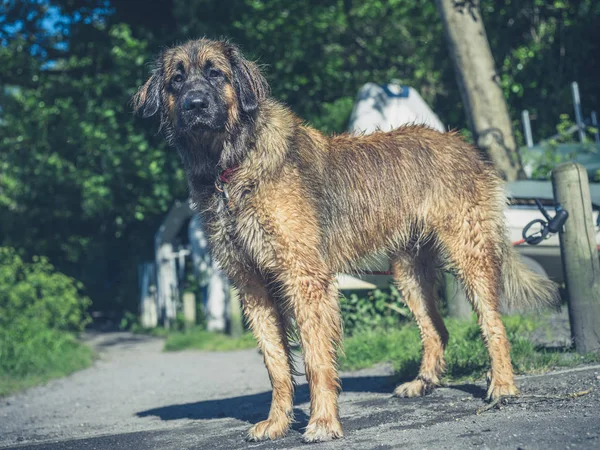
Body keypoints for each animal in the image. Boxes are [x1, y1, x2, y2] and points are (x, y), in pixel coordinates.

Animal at [134, 38, 560, 442]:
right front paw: (277, 423)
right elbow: (276, 364)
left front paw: (322, 422)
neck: (230, 165)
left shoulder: (304, 278)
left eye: (216, 73)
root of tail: (465, 146)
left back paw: (502, 386)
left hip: (469, 254)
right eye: (177, 80)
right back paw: (422, 383)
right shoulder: (253, 285)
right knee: (436, 328)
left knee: (493, 325)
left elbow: (315, 360)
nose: (195, 104)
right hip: (409, 271)